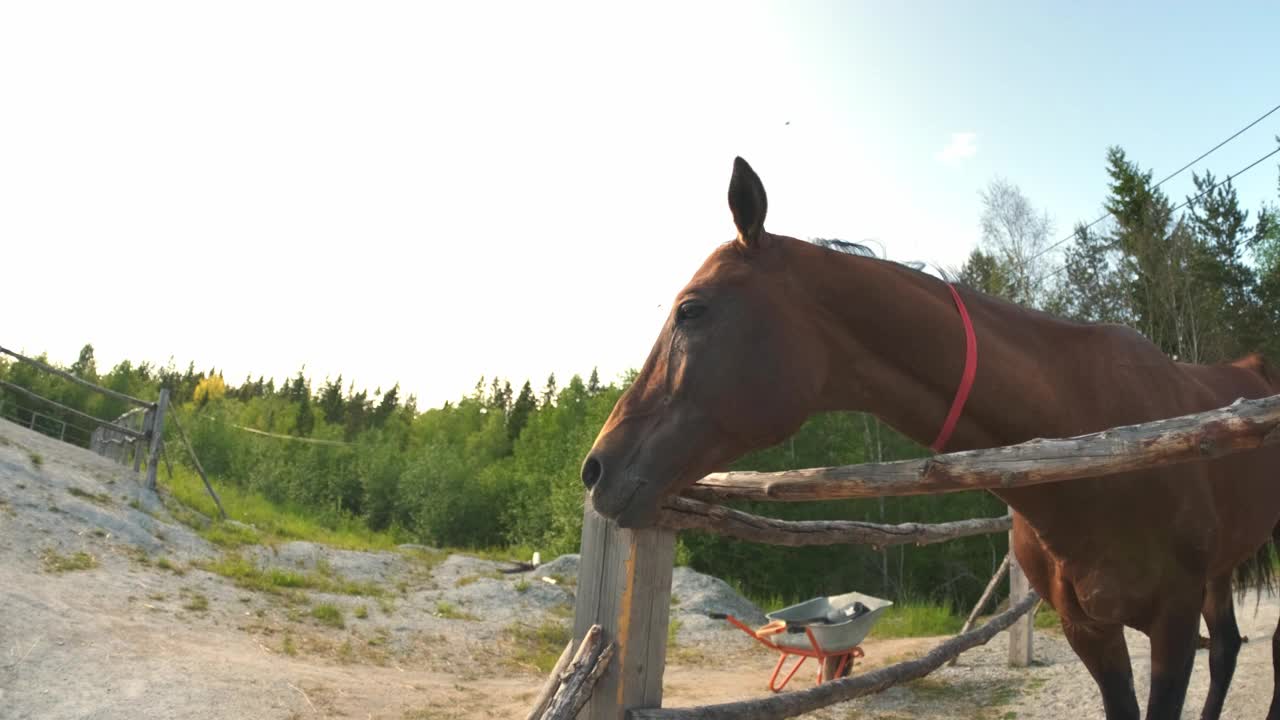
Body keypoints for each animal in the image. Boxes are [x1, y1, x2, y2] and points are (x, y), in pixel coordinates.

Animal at [586, 156, 1280, 717]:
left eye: (691, 309)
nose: (597, 469)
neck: (1095, 449)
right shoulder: (1092, 632)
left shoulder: (1170, 623)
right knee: (1228, 647)